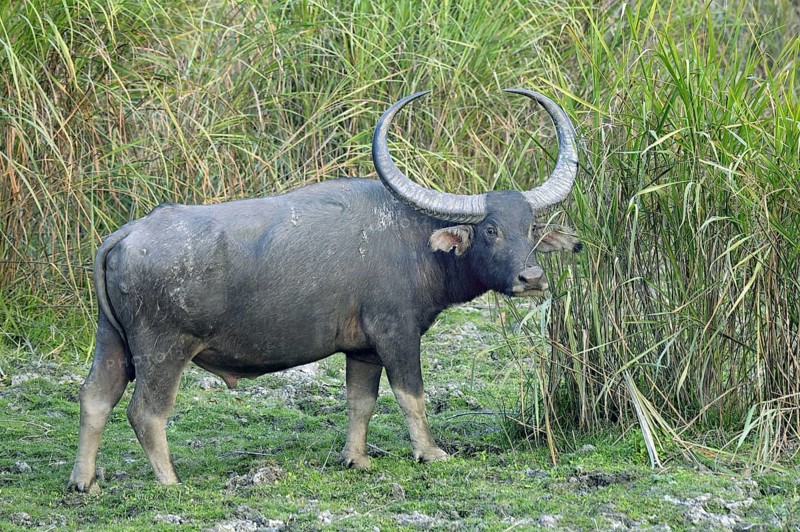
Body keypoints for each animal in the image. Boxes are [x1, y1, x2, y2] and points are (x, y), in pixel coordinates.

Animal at [68, 89, 581, 491]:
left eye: (530, 227)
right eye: (491, 230)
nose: (531, 279)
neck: (413, 241)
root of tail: (125, 235)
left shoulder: (362, 350)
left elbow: (361, 402)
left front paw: (357, 458)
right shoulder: (396, 334)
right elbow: (411, 394)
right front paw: (431, 452)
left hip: (111, 341)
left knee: (95, 397)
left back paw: (84, 481)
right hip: (163, 349)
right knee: (145, 412)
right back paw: (170, 481)